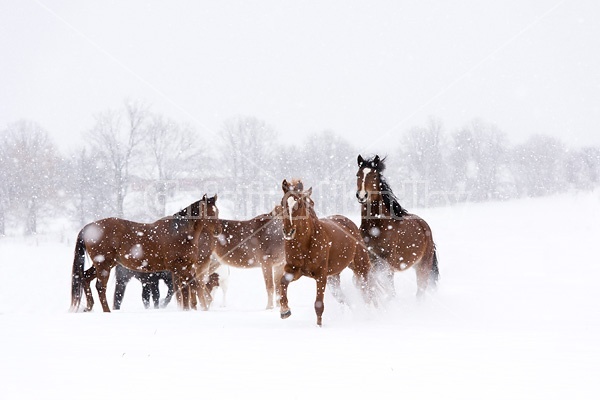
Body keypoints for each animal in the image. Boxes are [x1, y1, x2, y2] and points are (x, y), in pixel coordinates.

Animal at [70, 195, 220, 312]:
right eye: (207, 212)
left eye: (216, 211)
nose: (218, 231)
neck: (180, 234)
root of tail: (88, 228)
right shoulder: (178, 268)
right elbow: (189, 286)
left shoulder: (186, 267)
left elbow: (188, 288)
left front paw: (191, 308)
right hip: (104, 265)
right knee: (100, 287)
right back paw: (106, 311)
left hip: (103, 264)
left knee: (85, 278)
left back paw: (89, 307)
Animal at [278, 180, 372, 326]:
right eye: (283, 203)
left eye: (299, 204)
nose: (288, 231)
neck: (305, 243)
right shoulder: (294, 270)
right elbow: (282, 282)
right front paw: (284, 311)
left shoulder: (321, 275)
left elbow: (319, 305)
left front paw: (319, 327)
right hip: (334, 278)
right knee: (343, 298)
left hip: (361, 267)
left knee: (366, 293)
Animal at [354, 155, 438, 298]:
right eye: (358, 174)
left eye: (374, 175)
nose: (362, 195)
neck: (375, 229)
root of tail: (424, 225)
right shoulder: (370, 261)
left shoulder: (387, 265)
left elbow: (390, 291)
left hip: (423, 267)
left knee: (420, 291)